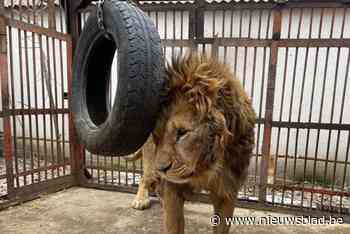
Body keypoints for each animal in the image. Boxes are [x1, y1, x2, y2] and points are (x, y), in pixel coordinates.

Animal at [129, 53, 254, 234]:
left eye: (182, 132)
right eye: (156, 134)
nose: (162, 169)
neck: (207, 164)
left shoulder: (228, 191)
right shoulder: (173, 189)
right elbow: (174, 225)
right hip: (150, 163)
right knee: (145, 178)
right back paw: (141, 200)